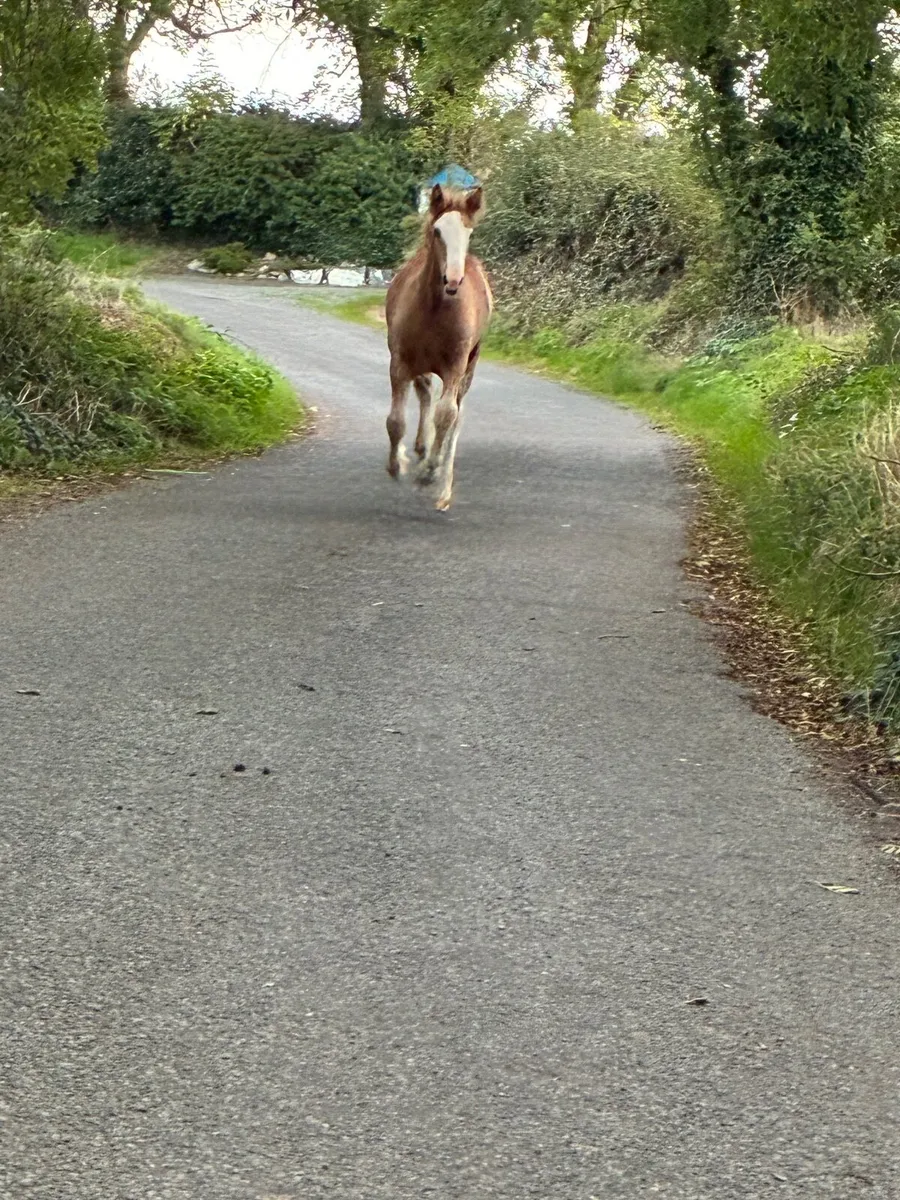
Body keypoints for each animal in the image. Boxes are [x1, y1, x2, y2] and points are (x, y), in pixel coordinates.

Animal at [384, 183, 493, 511]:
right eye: (437, 231)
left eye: (469, 232)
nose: (453, 281)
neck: (434, 310)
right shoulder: (400, 362)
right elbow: (395, 421)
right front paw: (397, 466)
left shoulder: (455, 365)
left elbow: (446, 416)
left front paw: (428, 474)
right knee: (424, 395)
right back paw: (419, 449)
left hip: (469, 367)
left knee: (455, 415)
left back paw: (443, 486)